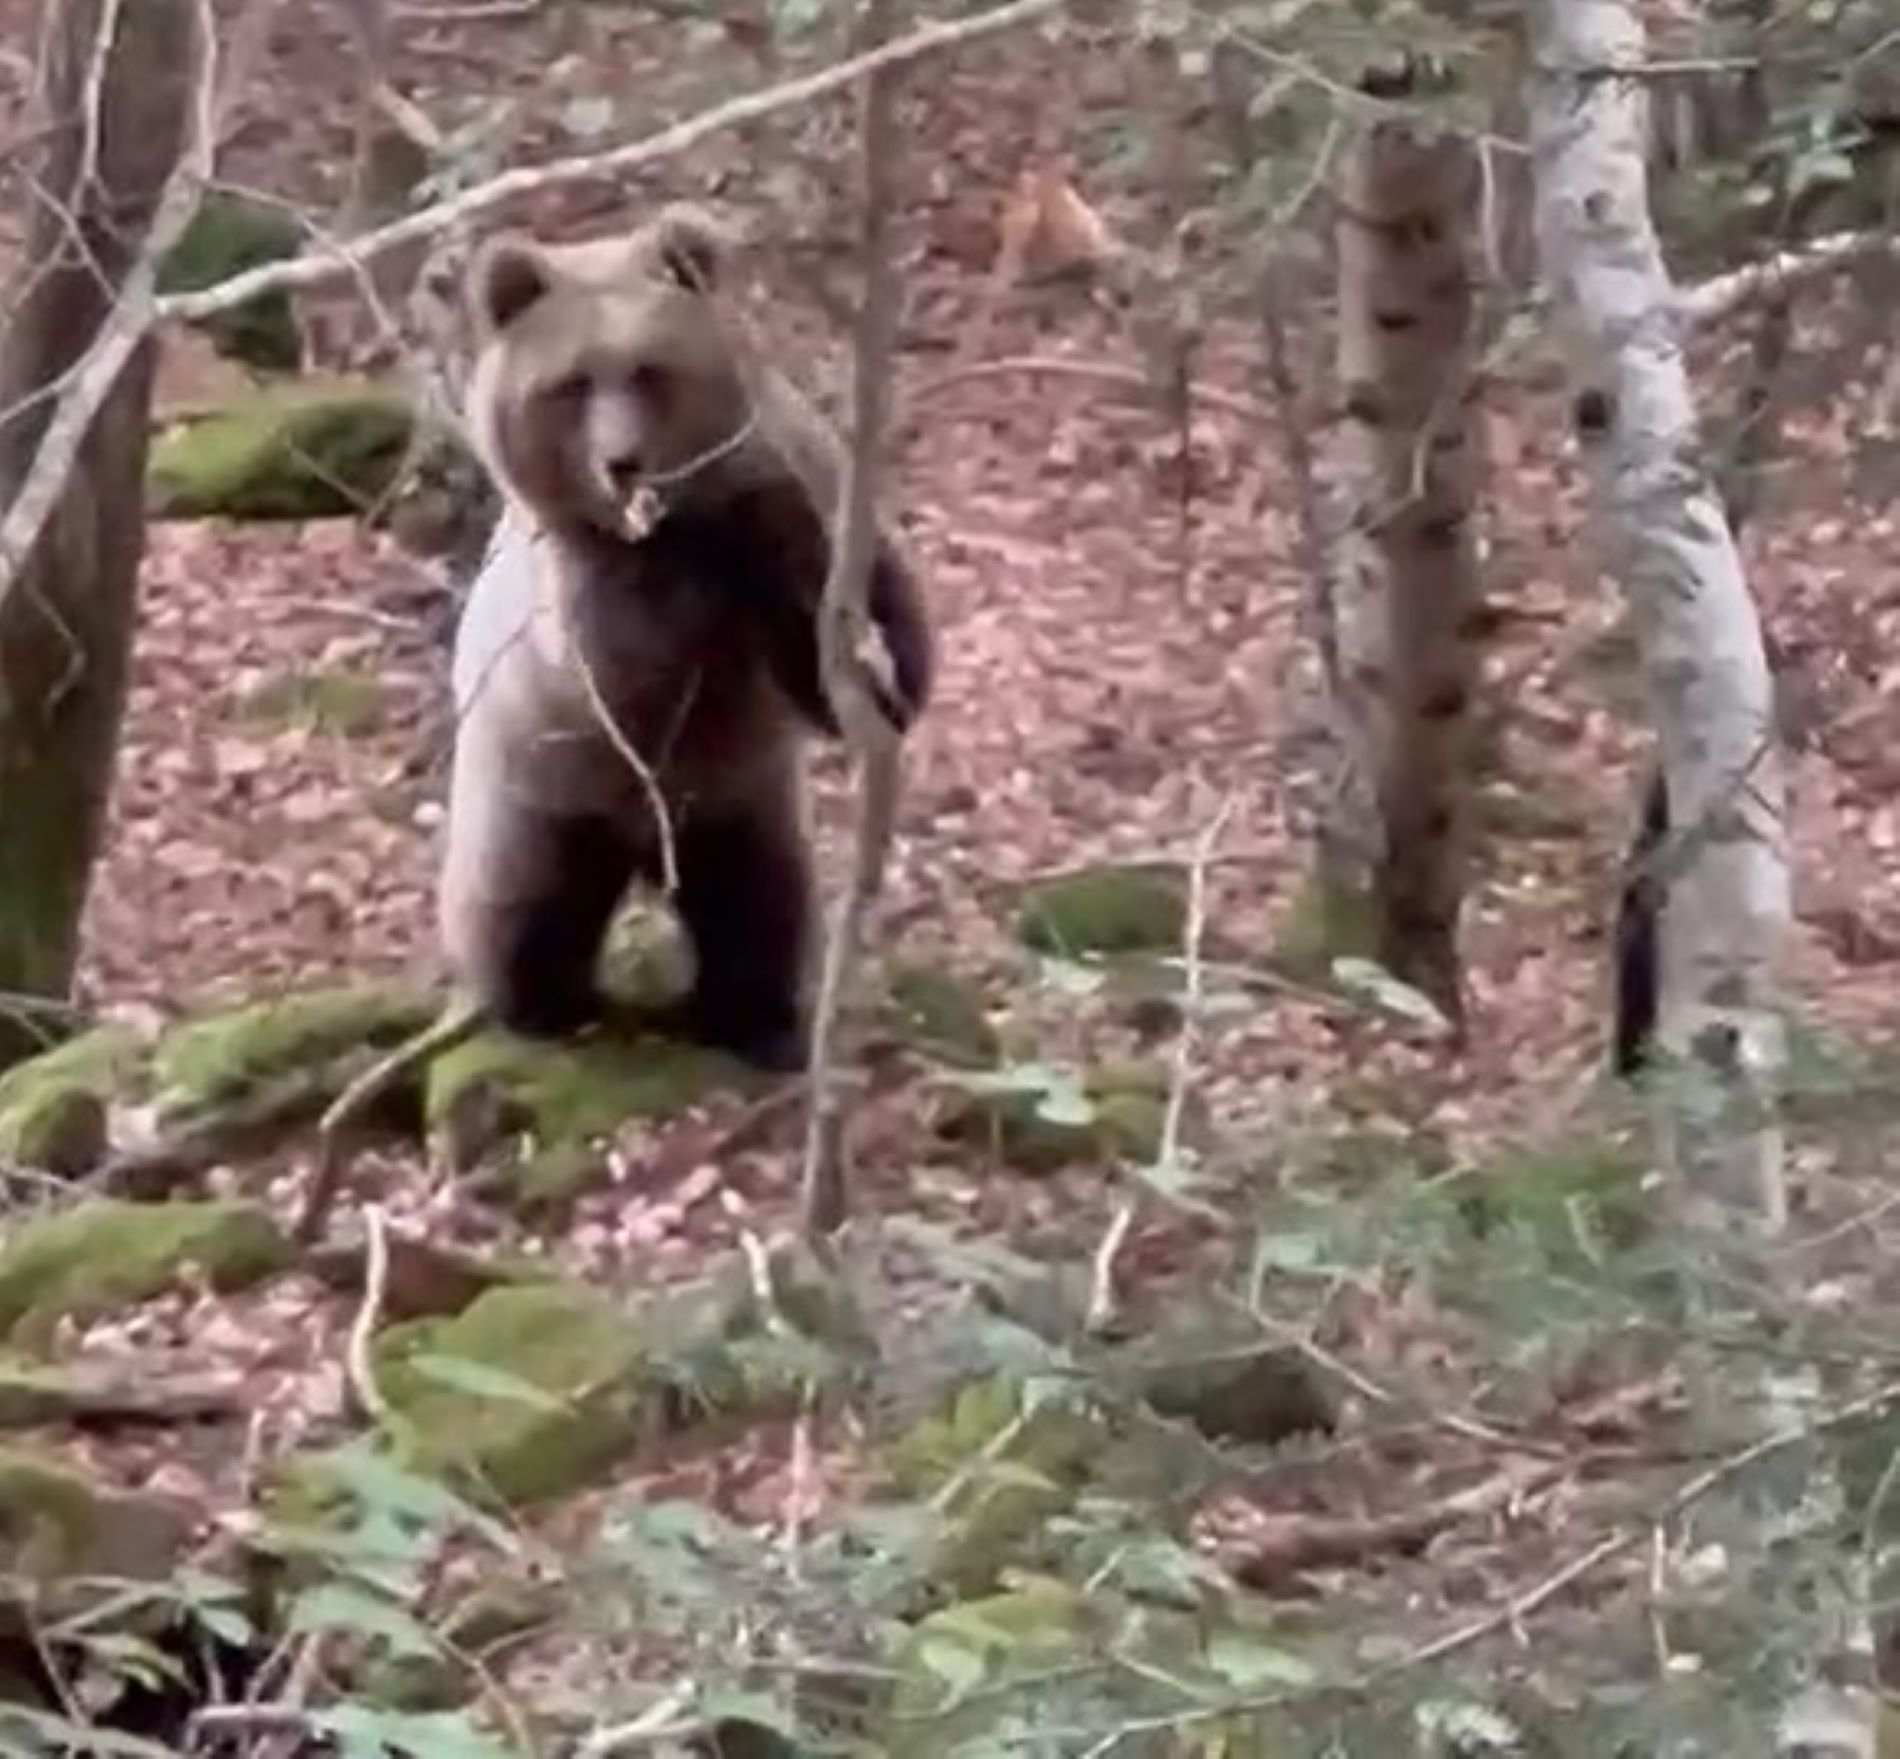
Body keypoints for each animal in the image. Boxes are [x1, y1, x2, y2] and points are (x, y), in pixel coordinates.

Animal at [433, 199, 934, 1063]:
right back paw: (540, 1005)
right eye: (570, 383)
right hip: (535, 788)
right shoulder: (584, 594)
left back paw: (755, 1018)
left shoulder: (798, 470)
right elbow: (634, 655)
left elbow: (863, 581)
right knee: (520, 903)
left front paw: (895, 681)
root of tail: (643, 857)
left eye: (647, 369)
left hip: (741, 801)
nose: (622, 462)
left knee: (759, 903)